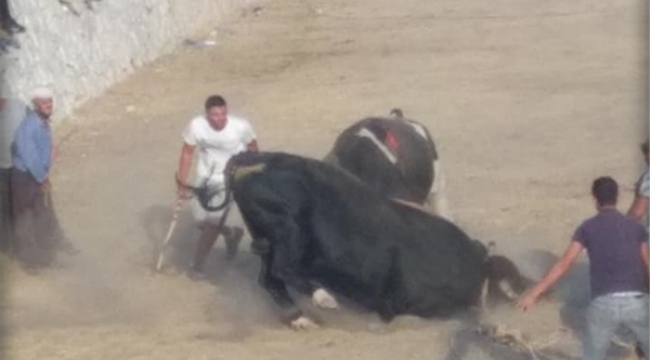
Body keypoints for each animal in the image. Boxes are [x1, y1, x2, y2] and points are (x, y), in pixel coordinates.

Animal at [182, 150, 528, 324]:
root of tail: (252, 162)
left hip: (268, 237)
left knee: (270, 278)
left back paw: (298, 316)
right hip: (289, 232)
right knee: (283, 270)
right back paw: (324, 299)